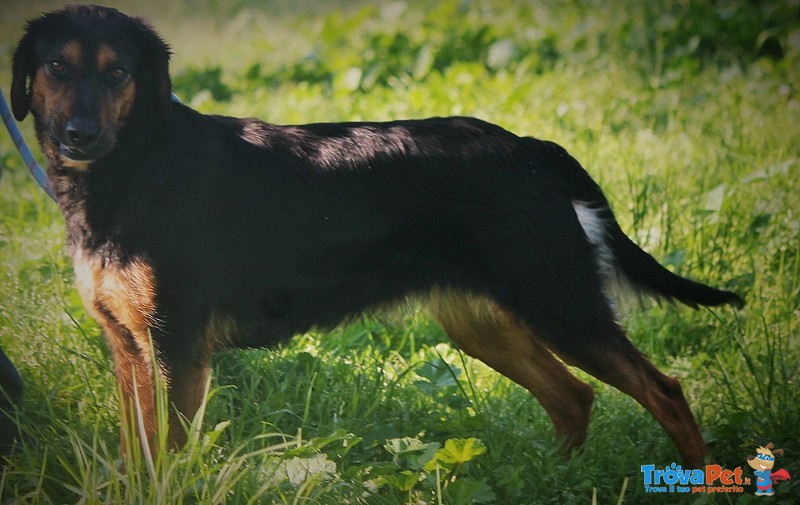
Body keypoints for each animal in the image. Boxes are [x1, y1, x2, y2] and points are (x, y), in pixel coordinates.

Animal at [9, 4, 744, 468]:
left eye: (118, 73)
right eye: (56, 68)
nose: (79, 135)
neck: (136, 164)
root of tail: (532, 149)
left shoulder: (176, 348)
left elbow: (166, 459)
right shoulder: (128, 347)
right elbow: (136, 454)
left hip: (559, 304)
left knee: (663, 391)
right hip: (483, 321)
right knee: (574, 398)